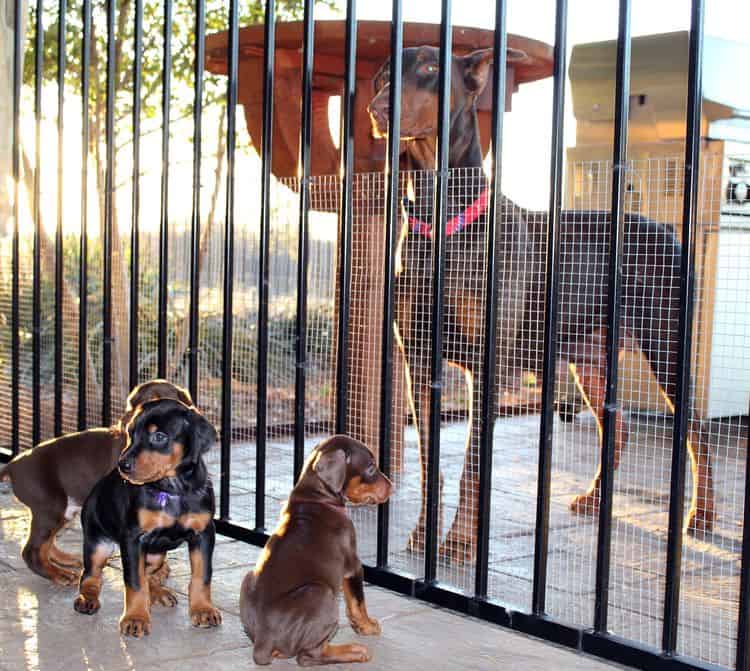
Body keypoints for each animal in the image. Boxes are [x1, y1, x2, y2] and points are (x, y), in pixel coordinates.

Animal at [0, 380, 194, 584]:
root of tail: (12, 465)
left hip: (61, 511)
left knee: (46, 544)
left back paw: (65, 560)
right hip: (51, 506)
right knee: (32, 550)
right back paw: (58, 574)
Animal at [73, 400, 220, 640]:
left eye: (159, 436)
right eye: (131, 433)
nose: (122, 465)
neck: (171, 490)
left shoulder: (204, 533)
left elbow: (202, 575)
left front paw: (203, 610)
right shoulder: (133, 539)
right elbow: (135, 582)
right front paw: (135, 619)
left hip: (156, 555)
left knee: (149, 576)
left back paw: (159, 593)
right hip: (98, 544)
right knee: (90, 576)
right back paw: (88, 600)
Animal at [241, 436, 394, 668]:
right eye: (370, 467)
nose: (392, 487)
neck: (316, 497)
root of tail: (262, 643)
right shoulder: (352, 565)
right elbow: (358, 602)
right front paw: (367, 626)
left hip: (247, 578)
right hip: (321, 593)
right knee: (308, 657)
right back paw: (353, 651)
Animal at [370, 44, 716, 564]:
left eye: (432, 67)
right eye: (385, 74)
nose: (379, 108)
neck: (444, 224)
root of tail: (667, 228)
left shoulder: (487, 366)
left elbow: (474, 466)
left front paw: (460, 542)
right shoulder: (418, 357)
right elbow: (432, 461)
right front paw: (423, 536)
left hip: (666, 345)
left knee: (697, 432)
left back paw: (703, 515)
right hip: (588, 357)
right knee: (617, 427)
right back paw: (595, 498)